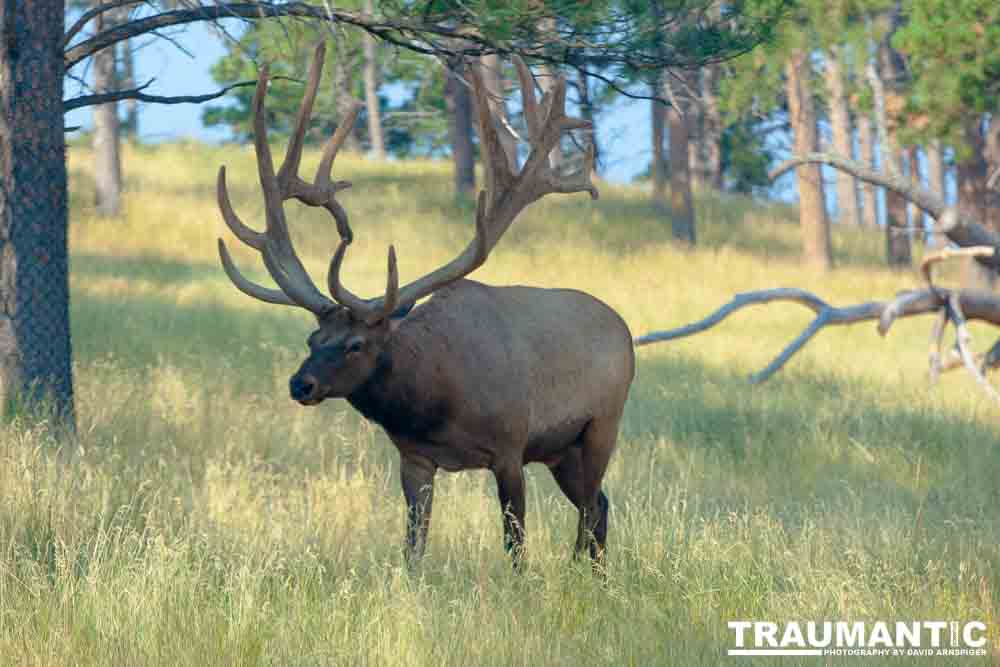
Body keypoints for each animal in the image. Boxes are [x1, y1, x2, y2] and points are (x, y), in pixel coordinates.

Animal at [216, 44, 636, 568]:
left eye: (356, 344)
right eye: (313, 339)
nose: (300, 383)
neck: (436, 401)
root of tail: (624, 330)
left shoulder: (510, 446)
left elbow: (515, 546)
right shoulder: (414, 458)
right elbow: (413, 546)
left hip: (601, 426)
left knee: (592, 508)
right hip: (562, 452)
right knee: (598, 504)